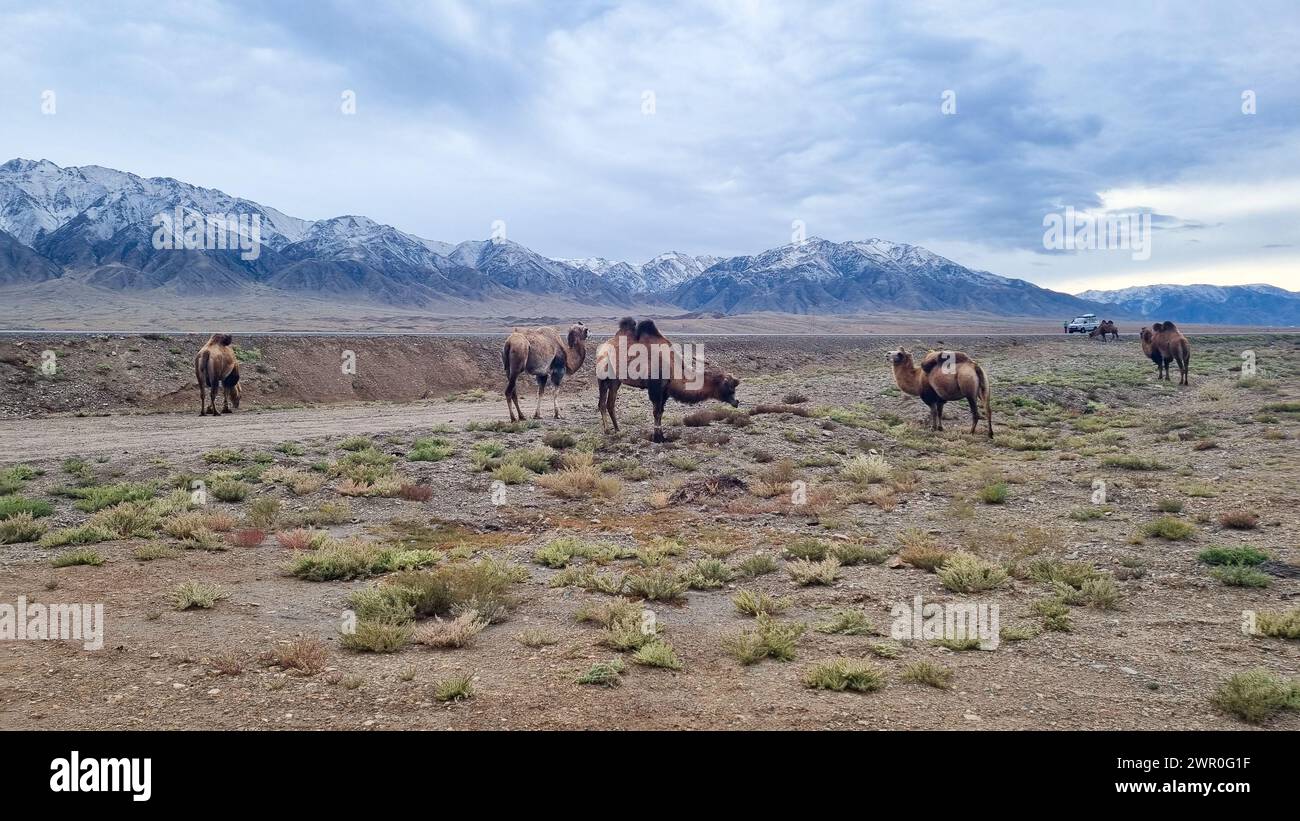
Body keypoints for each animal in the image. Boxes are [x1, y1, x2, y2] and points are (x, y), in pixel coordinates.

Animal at [598, 316, 743, 441]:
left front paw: (661, 436)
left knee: (610, 403)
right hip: (603, 376)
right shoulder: (655, 388)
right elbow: (656, 412)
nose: (736, 402)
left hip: (616, 380)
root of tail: (603, 347)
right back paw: (607, 430)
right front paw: (657, 438)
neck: (672, 366)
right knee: (602, 403)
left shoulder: (665, 390)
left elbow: (661, 412)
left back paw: (618, 429)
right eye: (729, 386)